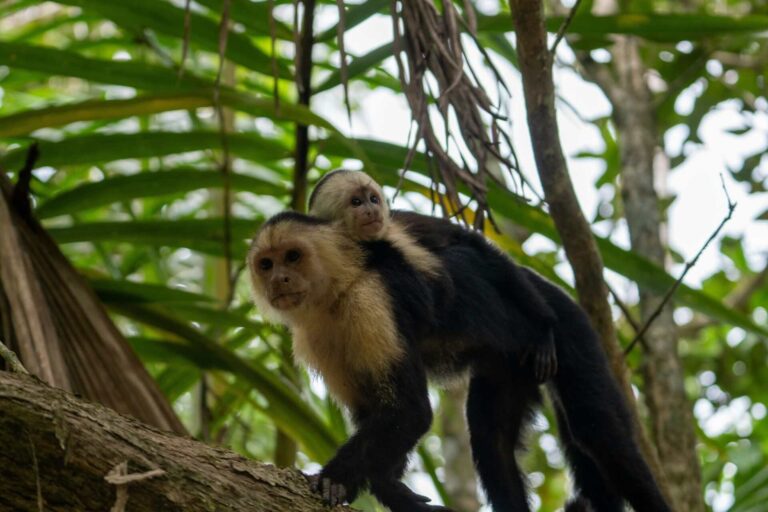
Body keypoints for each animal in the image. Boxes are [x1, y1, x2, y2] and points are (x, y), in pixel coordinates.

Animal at [306, 169, 673, 512]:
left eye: (372, 198)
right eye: (356, 202)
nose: (372, 210)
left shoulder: (401, 228)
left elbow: (468, 243)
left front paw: (541, 324)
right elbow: (385, 412)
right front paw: (388, 487)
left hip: (572, 328)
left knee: (598, 429)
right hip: (507, 368)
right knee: (492, 442)